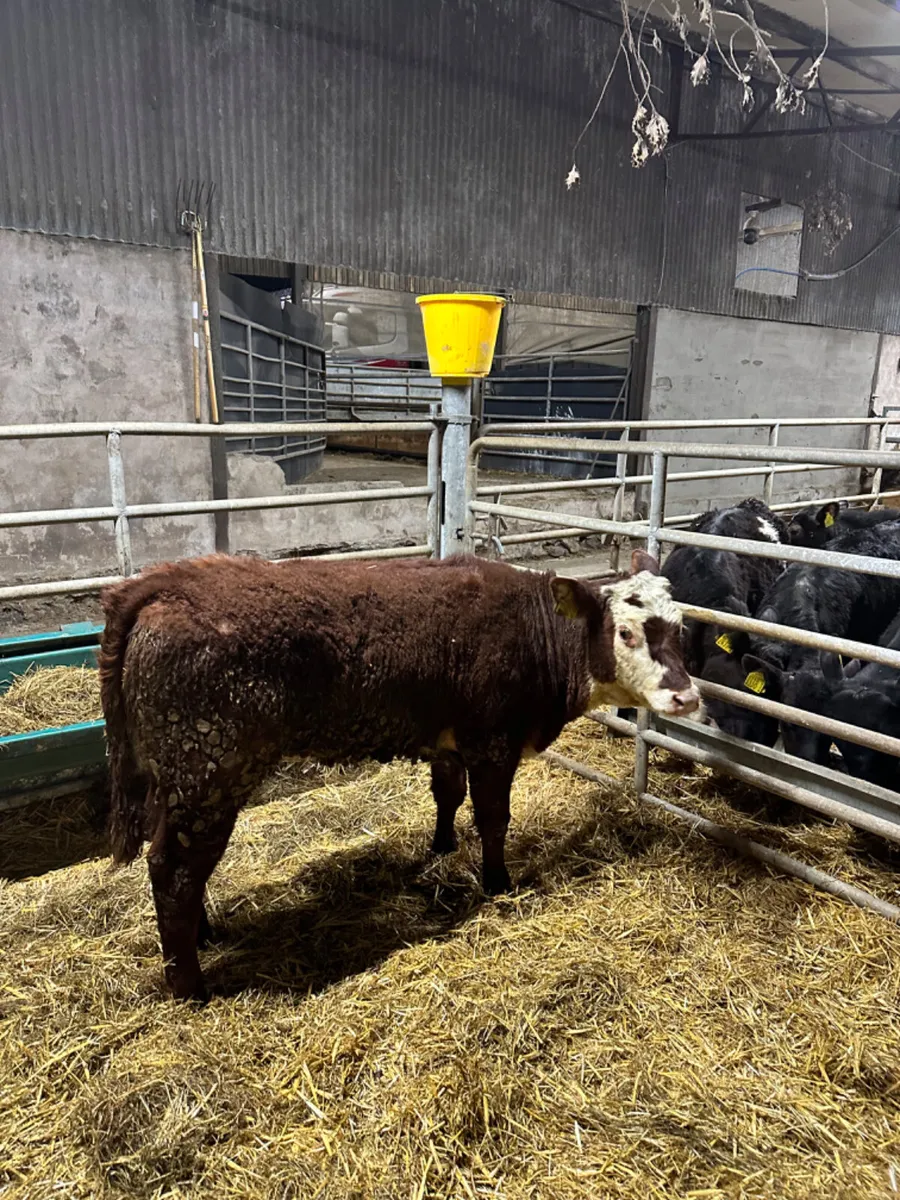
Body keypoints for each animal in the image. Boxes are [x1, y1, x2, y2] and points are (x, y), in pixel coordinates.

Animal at [100, 550, 698, 1000]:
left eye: (682, 627)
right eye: (626, 633)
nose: (687, 697)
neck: (536, 632)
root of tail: (161, 584)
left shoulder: (447, 740)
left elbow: (447, 795)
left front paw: (441, 846)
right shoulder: (492, 742)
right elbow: (493, 818)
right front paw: (498, 883)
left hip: (179, 783)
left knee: (179, 863)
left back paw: (204, 933)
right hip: (209, 769)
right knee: (173, 870)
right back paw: (190, 985)